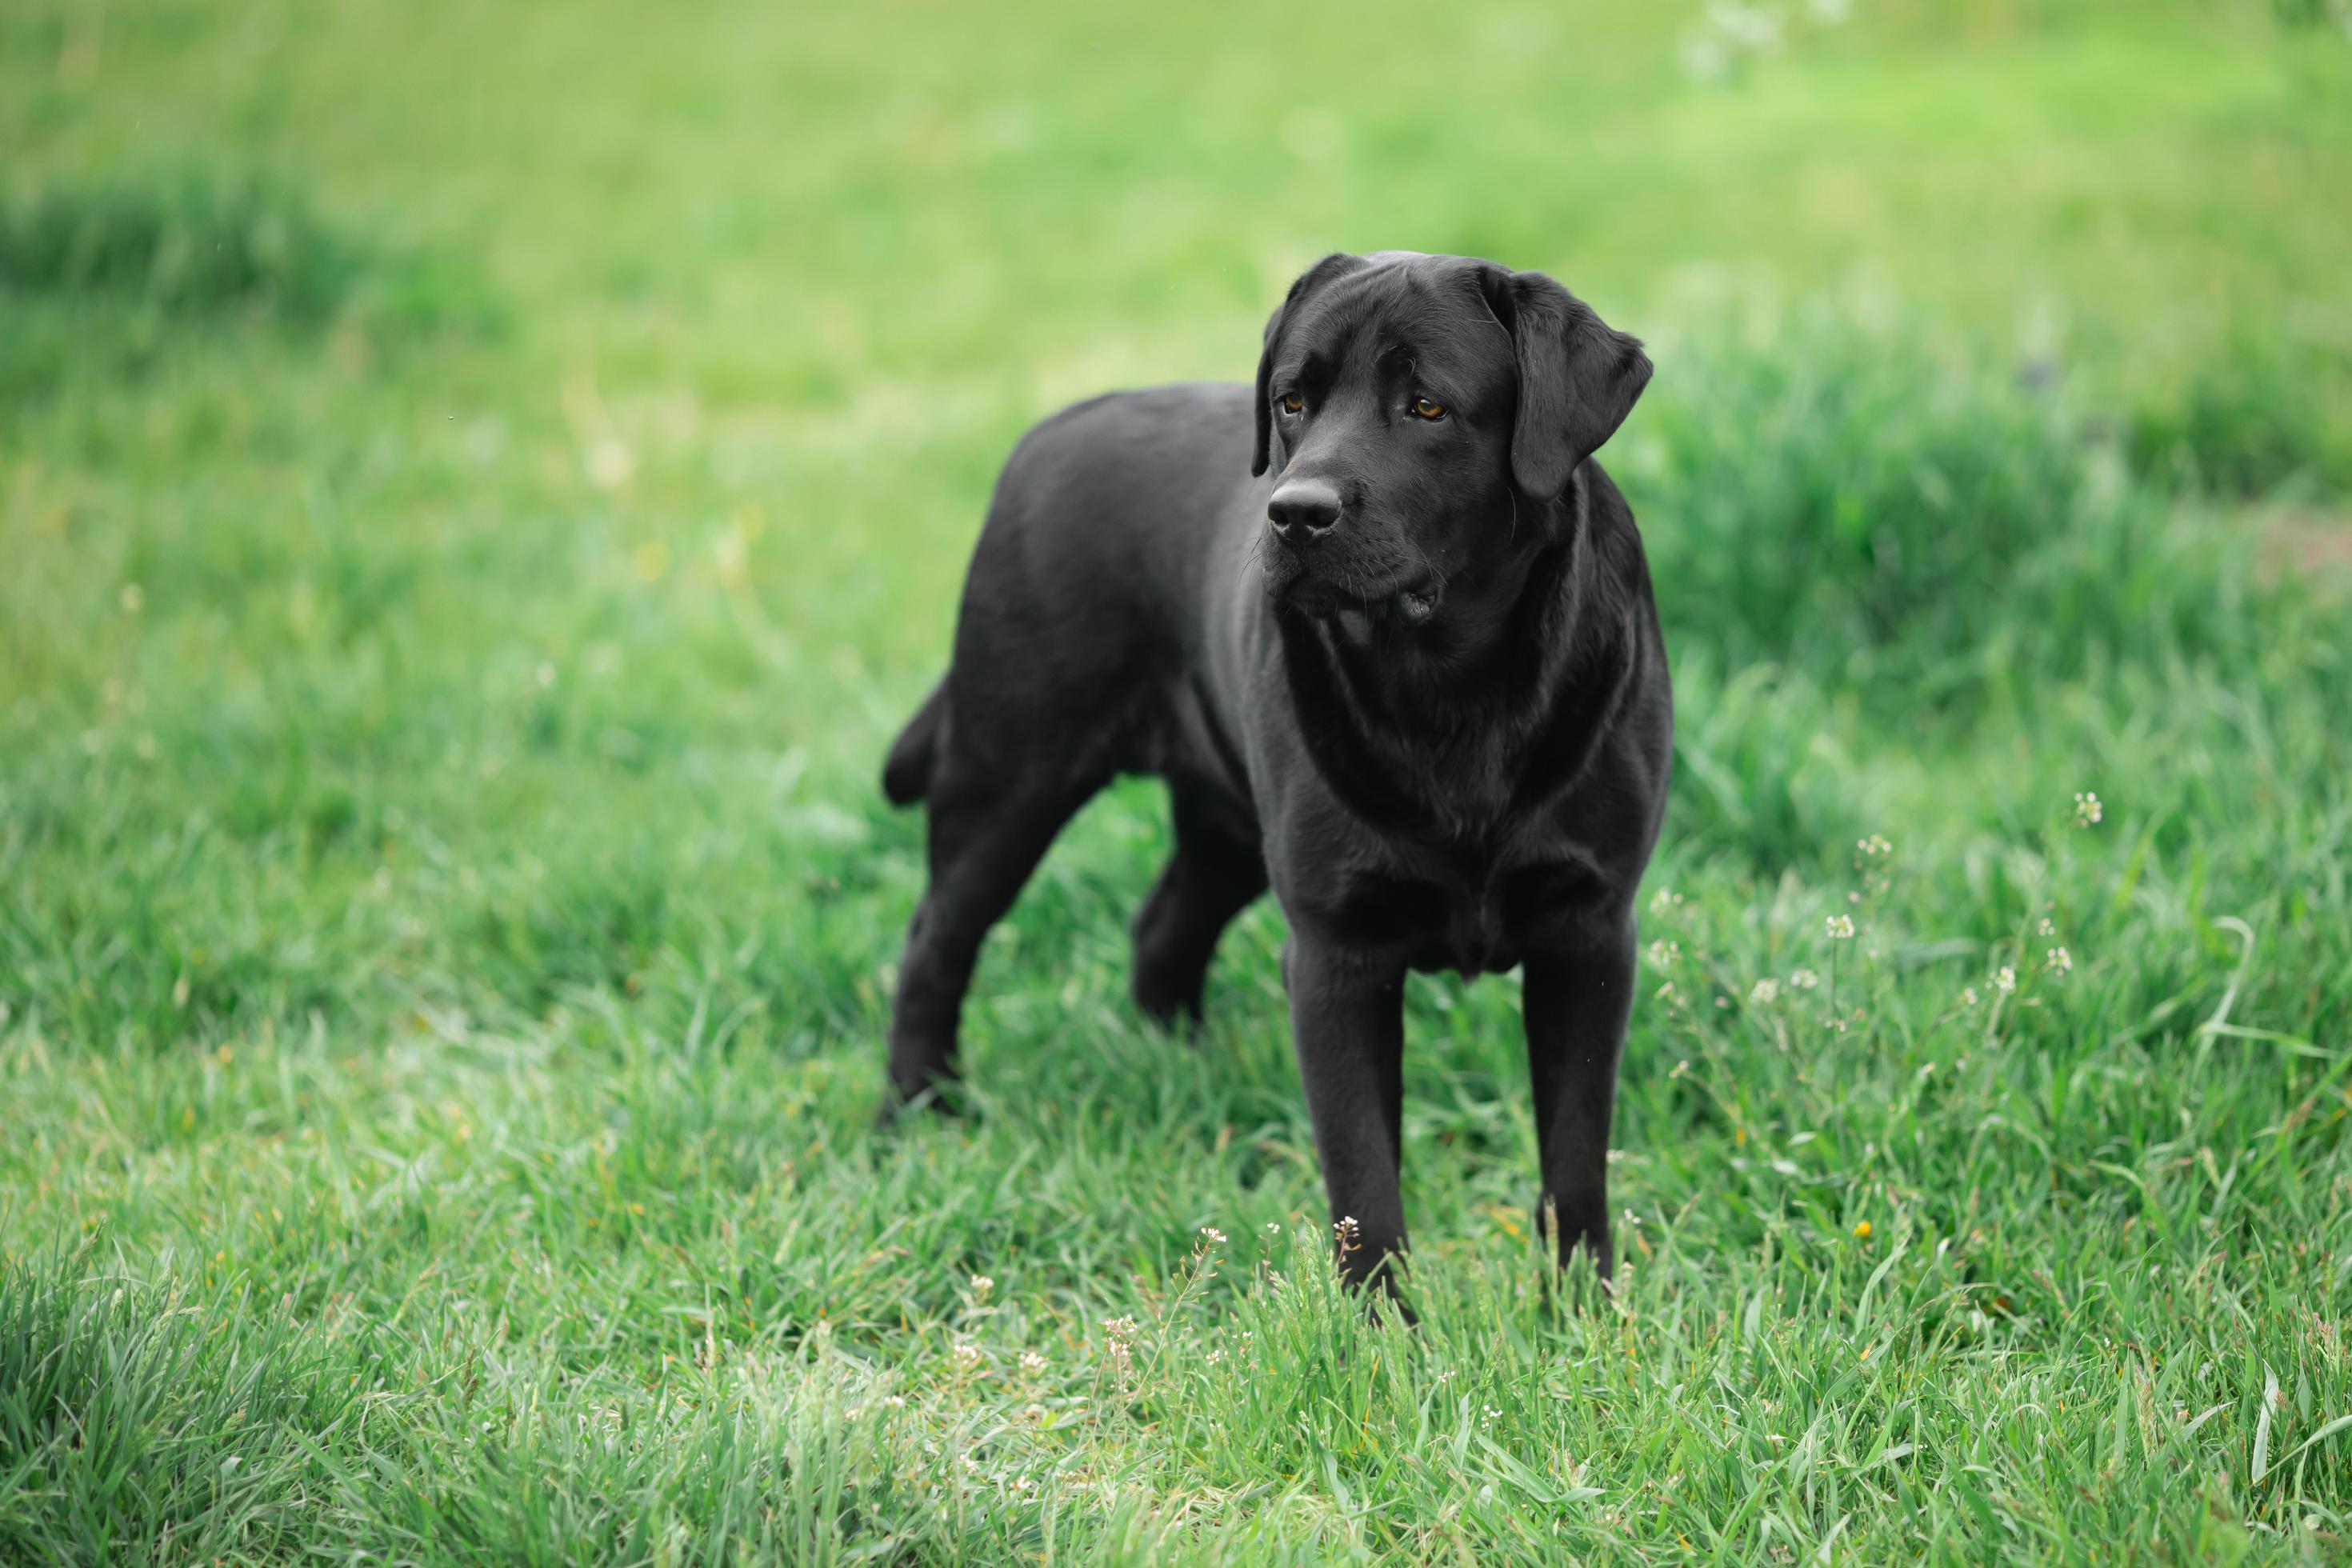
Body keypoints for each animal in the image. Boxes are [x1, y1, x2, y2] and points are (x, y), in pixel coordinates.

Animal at [884, 251, 1674, 1298]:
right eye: (1293, 401)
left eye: (1427, 405)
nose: (1295, 513)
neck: (1452, 693)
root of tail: (1048, 431)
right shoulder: (1337, 952)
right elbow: (1363, 1179)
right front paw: (1384, 1326)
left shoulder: (1588, 933)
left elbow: (1575, 1153)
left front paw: (1582, 1307)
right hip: (1007, 772)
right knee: (938, 938)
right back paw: (914, 1116)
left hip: (1225, 826)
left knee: (1162, 928)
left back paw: (1178, 1066)